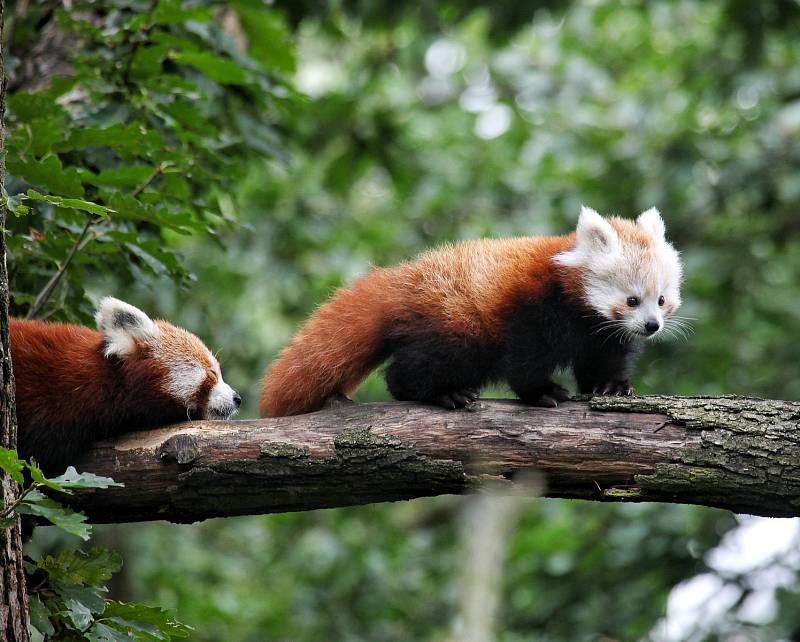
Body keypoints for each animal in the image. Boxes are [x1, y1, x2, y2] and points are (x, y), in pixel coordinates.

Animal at [260, 205, 684, 416]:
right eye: (632, 299)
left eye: (661, 300)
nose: (651, 326)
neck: (573, 299)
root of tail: (403, 281)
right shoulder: (533, 309)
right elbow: (524, 359)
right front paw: (542, 392)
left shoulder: (599, 331)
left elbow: (604, 358)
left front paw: (611, 385)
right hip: (455, 324)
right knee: (417, 367)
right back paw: (442, 394)